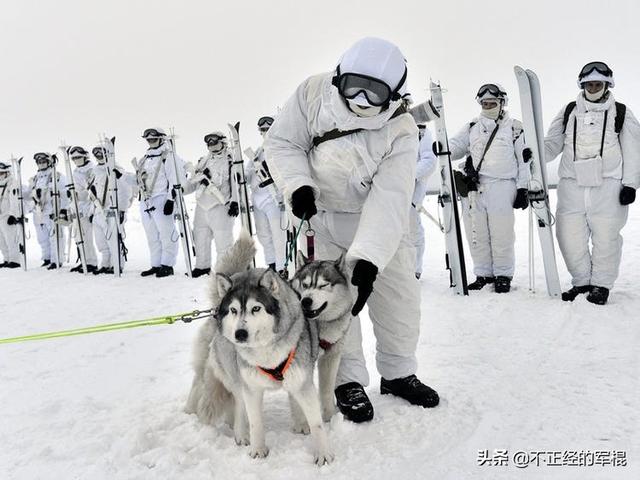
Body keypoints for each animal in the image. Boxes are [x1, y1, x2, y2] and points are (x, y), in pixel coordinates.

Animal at [186, 231, 332, 464]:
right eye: (234, 310)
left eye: (256, 308)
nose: (240, 334)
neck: (267, 352)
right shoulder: (251, 388)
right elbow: (255, 421)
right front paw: (257, 450)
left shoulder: (302, 382)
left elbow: (316, 423)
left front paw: (323, 455)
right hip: (234, 375)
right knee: (236, 403)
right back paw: (239, 432)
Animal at [292, 251, 356, 424]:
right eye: (305, 285)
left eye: (323, 285)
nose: (305, 301)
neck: (319, 325)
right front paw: (301, 425)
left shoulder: (331, 357)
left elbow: (327, 390)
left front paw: (330, 416)